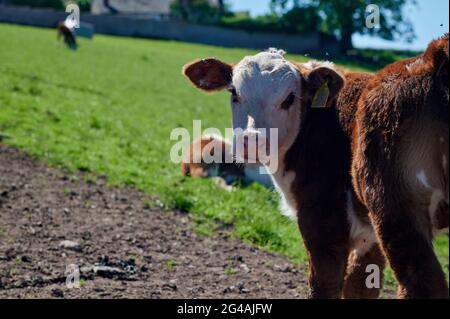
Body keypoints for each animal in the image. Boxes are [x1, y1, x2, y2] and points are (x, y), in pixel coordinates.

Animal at [181, 35, 448, 300]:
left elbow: (324, 284)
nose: (252, 142)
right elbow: (359, 285)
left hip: (394, 206)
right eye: (234, 93)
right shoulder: (368, 235)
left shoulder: (322, 217)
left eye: (290, 99)